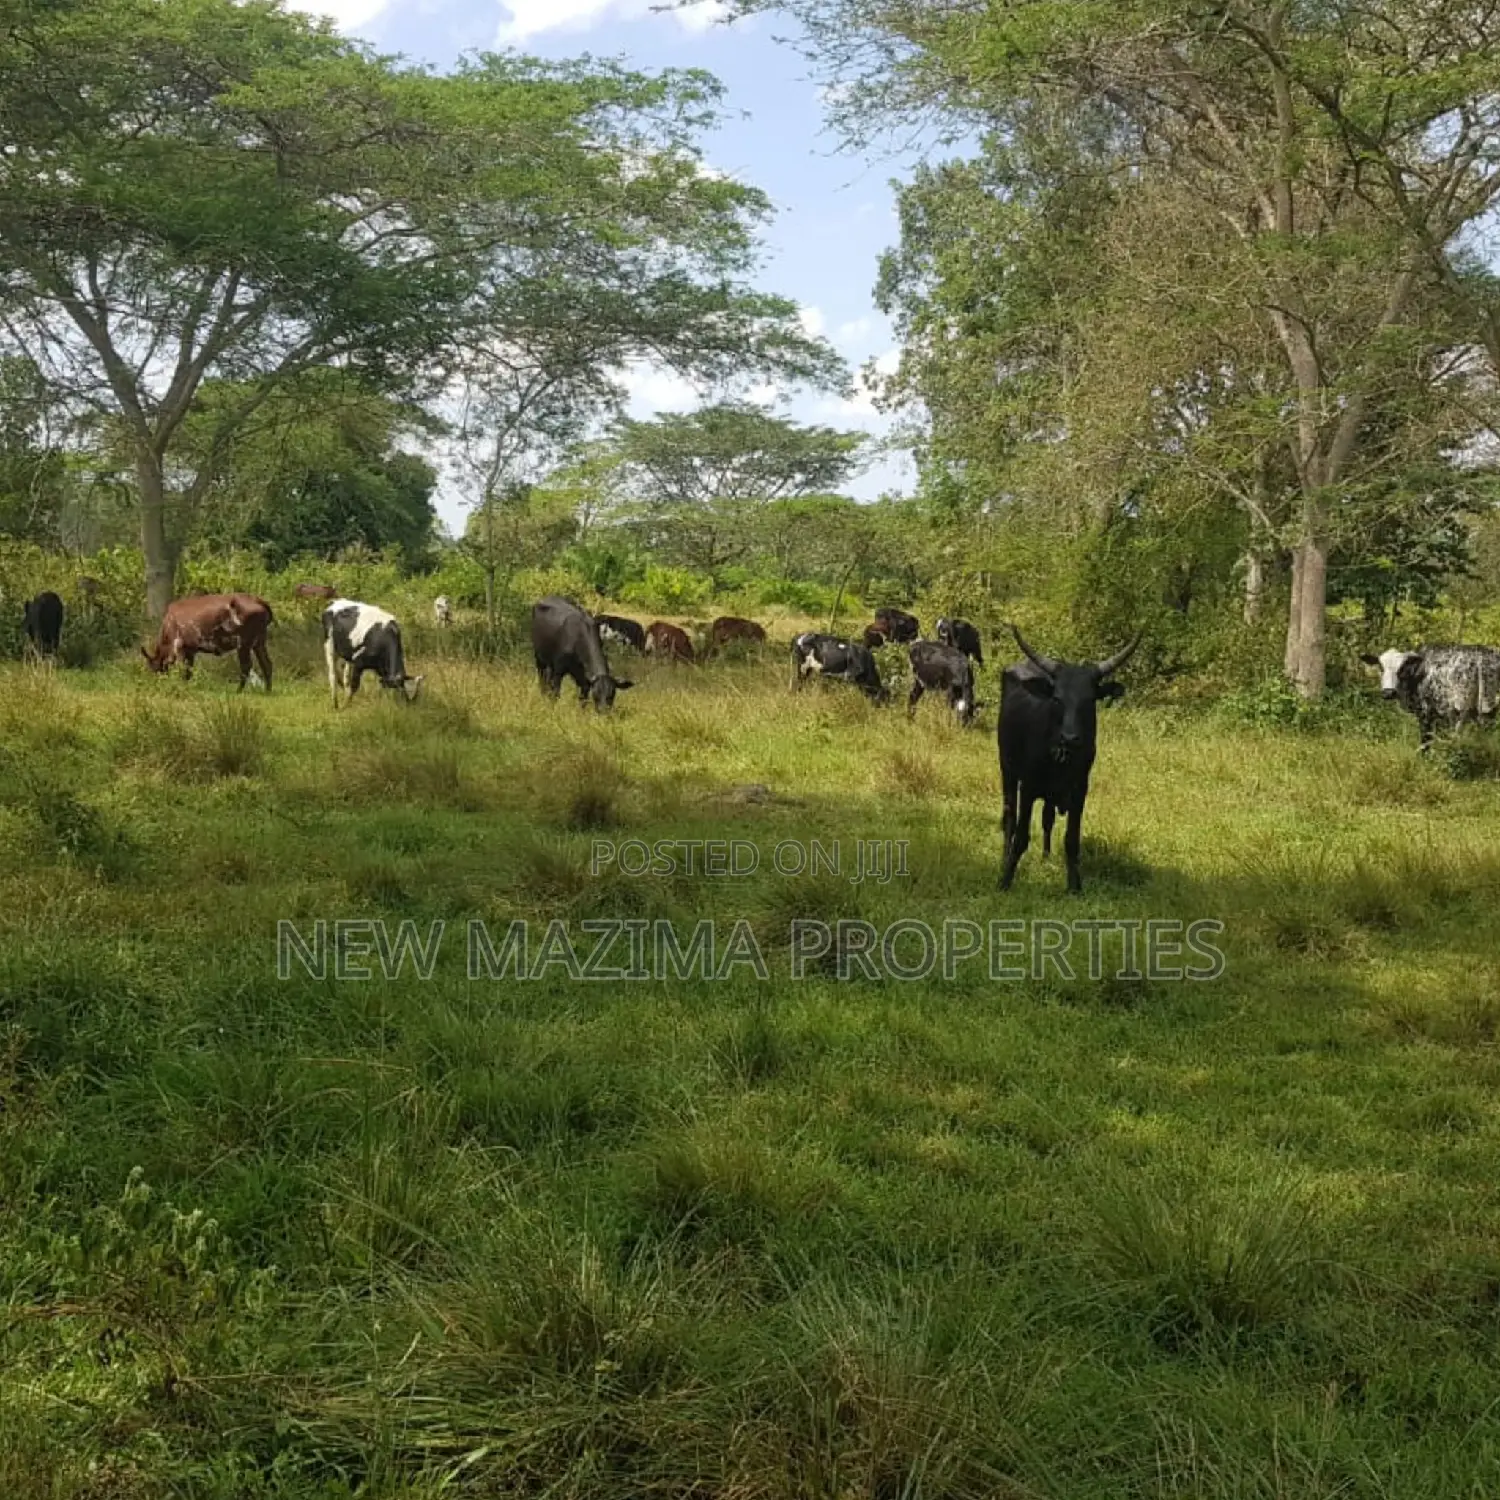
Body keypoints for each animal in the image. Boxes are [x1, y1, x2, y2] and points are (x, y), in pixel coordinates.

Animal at [142, 593, 274, 691]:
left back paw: (239, 690)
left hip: (243, 644)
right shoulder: (190, 651)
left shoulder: (180, 647)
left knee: (246, 667)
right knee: (266, 664)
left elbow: (183, 669)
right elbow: (189, 671)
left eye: (154, 668)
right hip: (259, 643)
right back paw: (267, 690)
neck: (168, 624)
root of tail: (259, 601)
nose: (157, 682)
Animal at [998, 624, 1140, 894]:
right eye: (1057, 698)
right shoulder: (1028, 787)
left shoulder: (1079, 790)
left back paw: (1045, 856)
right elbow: (1021, 836)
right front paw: (1005, 879)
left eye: (1090, 700)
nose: (1070, 737)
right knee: (1009, 818)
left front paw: (1074, 885)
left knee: (1047, 818)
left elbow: (1071, 840)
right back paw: (1004, 856)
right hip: (1007, 770)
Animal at [1360, 645, 1500, 752]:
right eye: (1381, 667)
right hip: (1487, 705)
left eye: (1402, 669)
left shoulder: (1426, 713)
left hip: (1461, 707)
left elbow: (1426, 741)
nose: (1388, 692)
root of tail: (1480, 658)